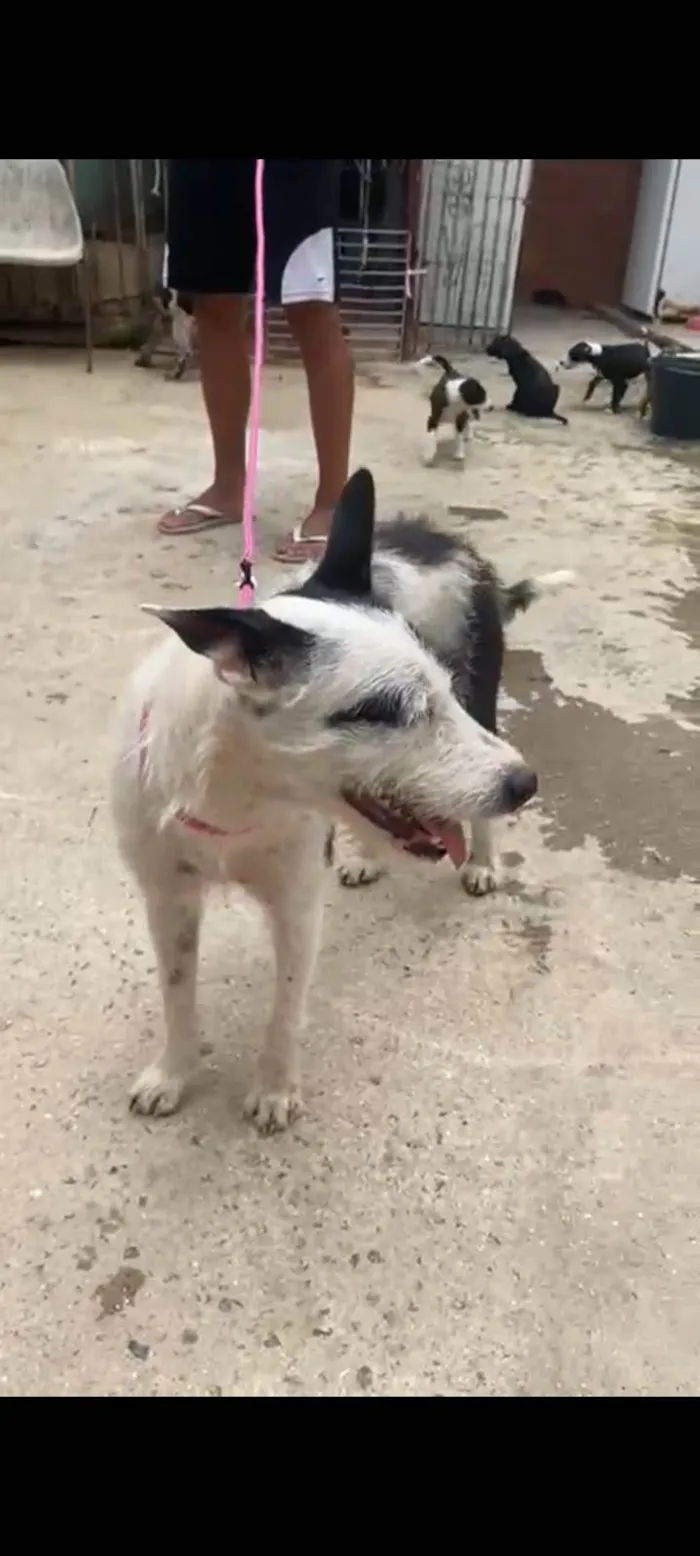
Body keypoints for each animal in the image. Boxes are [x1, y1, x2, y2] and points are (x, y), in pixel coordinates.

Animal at [112, 460, 535, 1132]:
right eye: (386, 710)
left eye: (432, 695)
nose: (526, 785)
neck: (237, 799)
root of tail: (437, 537)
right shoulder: (167, 897)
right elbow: (177, 992)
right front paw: (173, 1074)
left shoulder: (296, 905)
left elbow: (285, 1008)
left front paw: (274, 1090)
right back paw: (368, 855)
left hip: (482, 697)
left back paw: (485, 862)